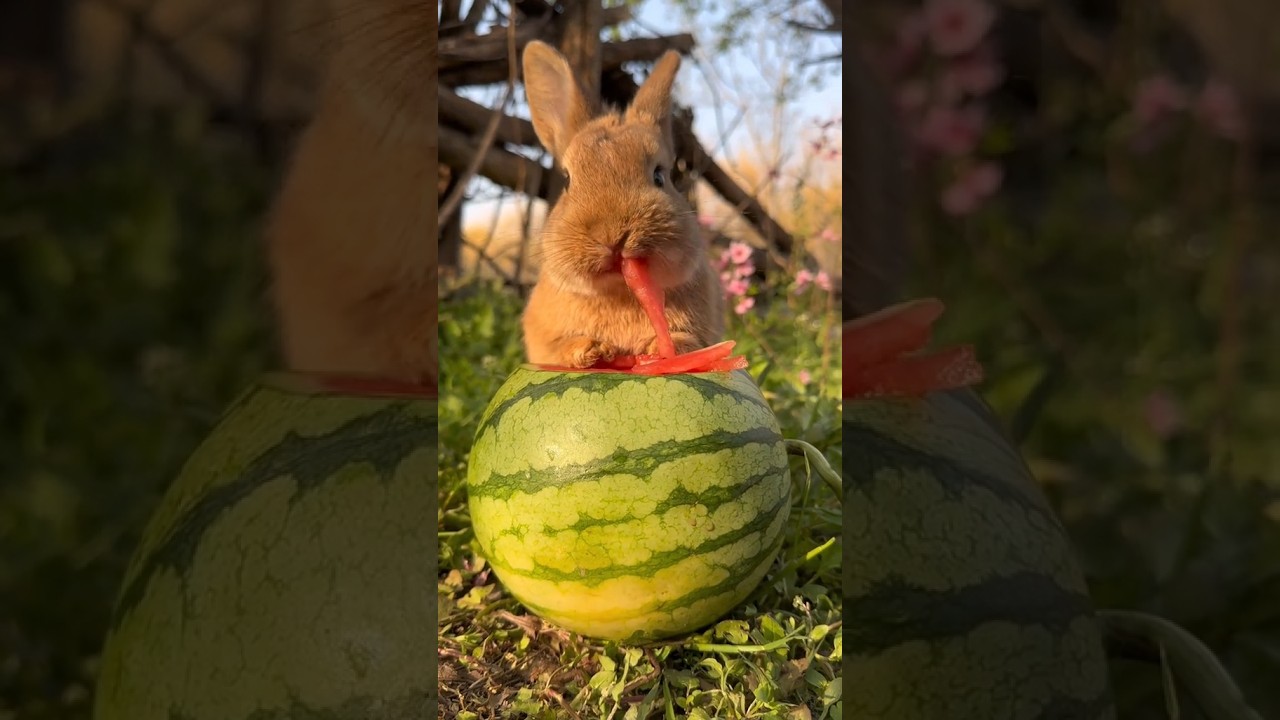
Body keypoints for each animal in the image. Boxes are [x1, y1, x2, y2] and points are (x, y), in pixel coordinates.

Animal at [519, 40, 725, 368]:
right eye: (567, 180)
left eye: (659, 175)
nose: (613, 236)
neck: (620, 292)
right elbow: (558, 348)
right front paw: (589, 350)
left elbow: (688, 341)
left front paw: (663, 347)